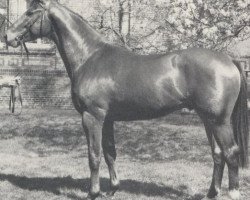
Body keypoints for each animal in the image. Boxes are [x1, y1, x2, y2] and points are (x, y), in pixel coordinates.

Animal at [3, 0, 248, 199]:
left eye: (30, 12)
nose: (7, 36)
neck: (90, 57)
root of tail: (229, 59)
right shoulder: (108, 119)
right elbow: (110, 153)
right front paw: (112, 189)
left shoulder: (92, 117)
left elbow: (94, 155)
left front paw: (93, 193)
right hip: (208, 120)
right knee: (218, 155)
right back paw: (211, 194)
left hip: (219, 121)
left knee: (230, 153)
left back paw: (233, 193)